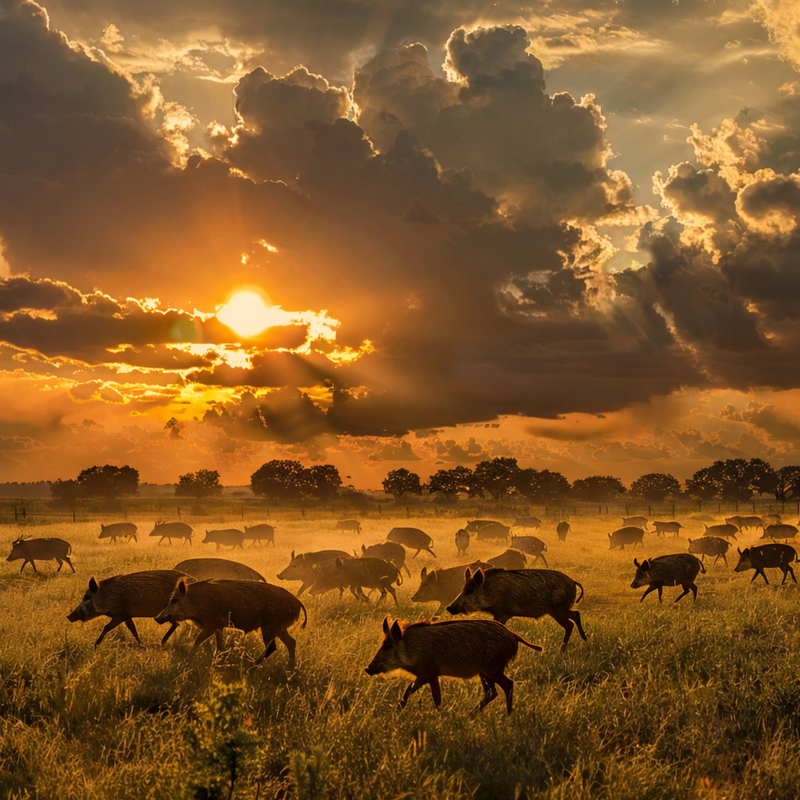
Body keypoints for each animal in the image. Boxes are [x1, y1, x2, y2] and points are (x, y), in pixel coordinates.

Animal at [155, 578, 307, 666]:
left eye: (175, 600)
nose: (157, 618)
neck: (196, 601)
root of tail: (297, 602)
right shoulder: (219, 627)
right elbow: (220, 645)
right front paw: (217, 660)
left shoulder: (211, 625)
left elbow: (197, 641)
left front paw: (190, 660)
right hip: (280, 628)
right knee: (291, 642)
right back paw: (290, 667)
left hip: (270, 626)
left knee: (272, 647)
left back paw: (250, 668)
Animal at [365, 617, 543, 714]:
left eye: (388, 646)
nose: (367, 669)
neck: (412, 648)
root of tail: (513, 635)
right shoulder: (426, 675)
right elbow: (413, 692)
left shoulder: (428, 673)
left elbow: (430, 696)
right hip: (485, 672)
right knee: (492, 692)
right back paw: (470, 715)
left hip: (492, 668)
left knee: (508, 685)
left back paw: (507, 716)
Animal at [447, 568, 587, 650]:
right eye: (463, 589)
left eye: (470, 590)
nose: (449, 607)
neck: (491, 590)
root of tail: (573, 582)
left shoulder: (501, 612)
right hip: (560, 610)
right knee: (575, 615)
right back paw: (581, 640)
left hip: (558, 609)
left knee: (570, 623)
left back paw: (563, 648)